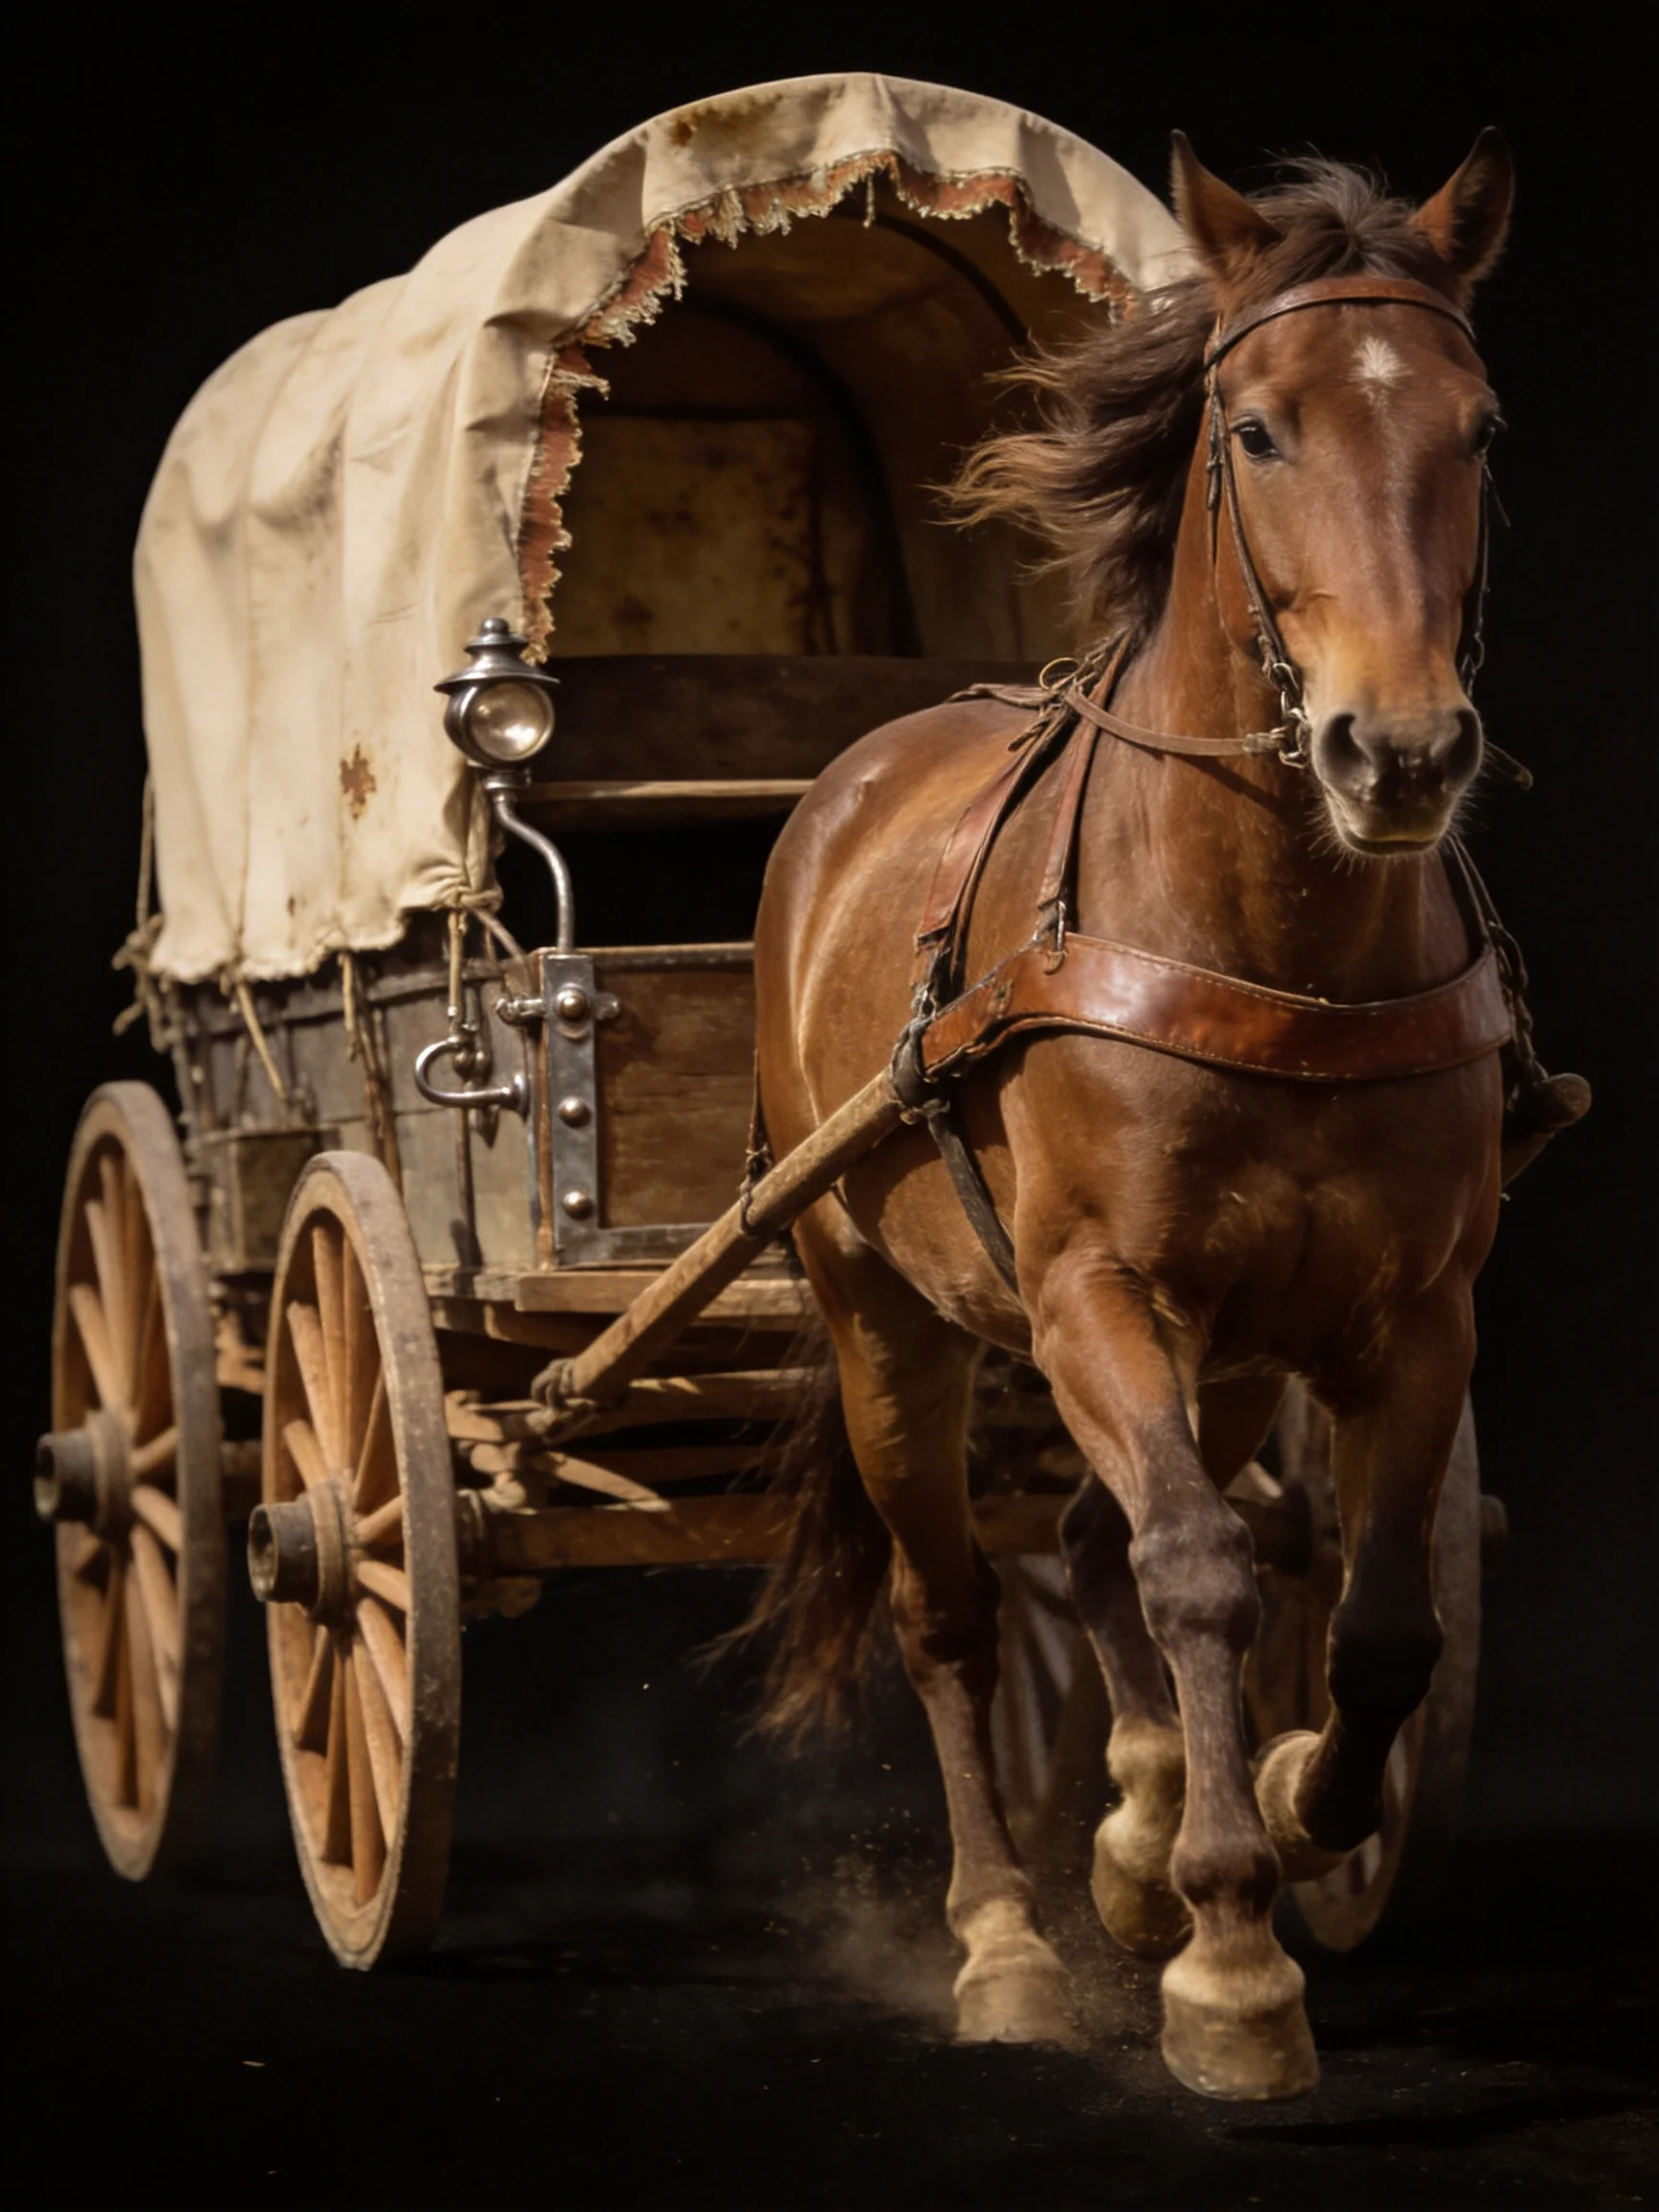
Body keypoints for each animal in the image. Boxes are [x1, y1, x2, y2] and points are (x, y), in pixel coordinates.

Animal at [742, 132, 1563, 2103]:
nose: (1397, 753)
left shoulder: (1408, 1316)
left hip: (1227, 1347)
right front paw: (1230, 1950)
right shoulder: (1093, 1296)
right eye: (1254, 430)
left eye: (1479, 428)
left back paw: (1125, 1813)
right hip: (886, 1315)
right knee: (955, 1608)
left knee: (1100, 1541)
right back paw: (1004, 1930)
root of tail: (853, 773)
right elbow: (1199, 1566)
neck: (1266, 940)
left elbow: (1380, 1615)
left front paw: (1282, 1793)